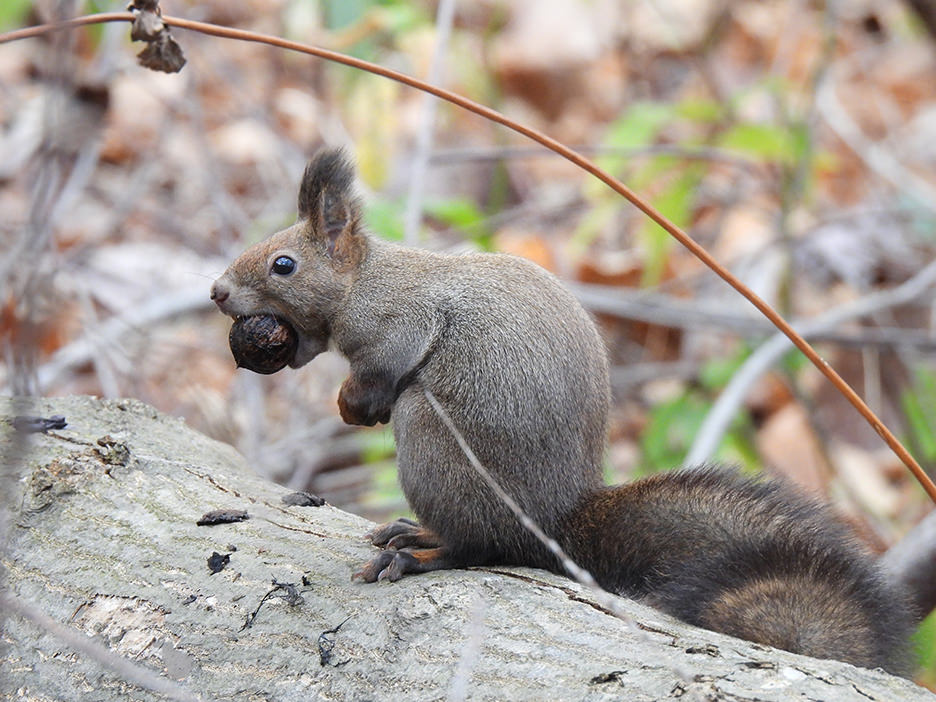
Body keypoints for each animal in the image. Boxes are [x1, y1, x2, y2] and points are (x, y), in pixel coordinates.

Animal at [208, 150, 912, 676]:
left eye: (283, 264)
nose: (215, 292)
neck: (365, 281)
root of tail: (554, 523)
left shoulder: (396, 323)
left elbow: (385, 366)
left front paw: (353, 406)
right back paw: (413, 532)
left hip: (435, 441)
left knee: (480, 549)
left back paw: (421, 554)